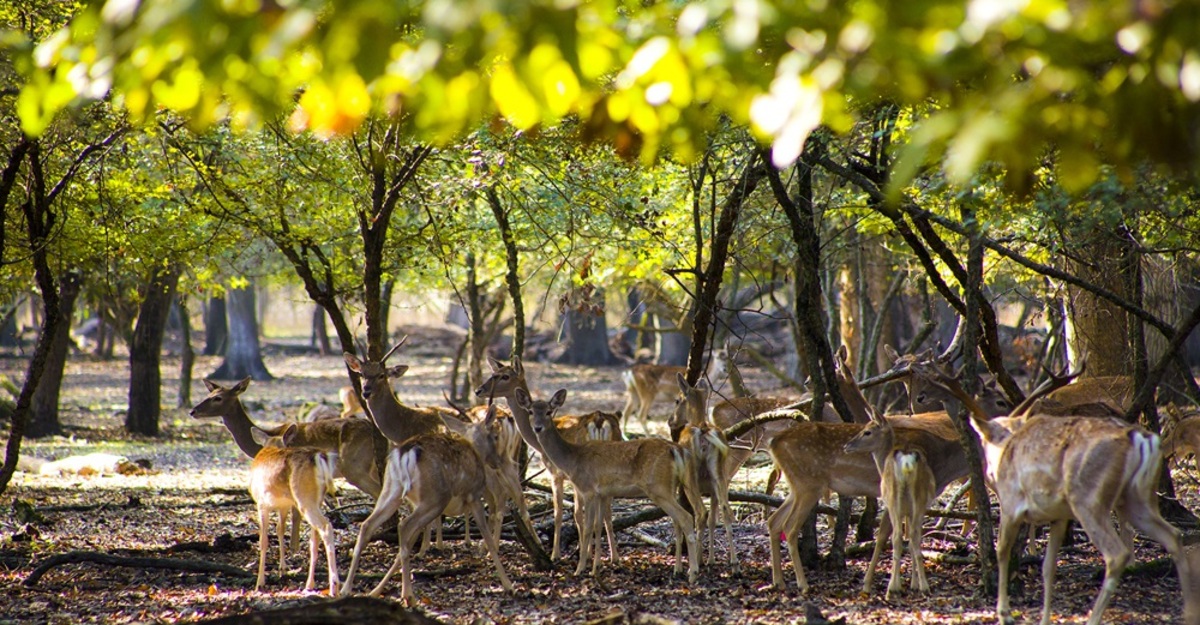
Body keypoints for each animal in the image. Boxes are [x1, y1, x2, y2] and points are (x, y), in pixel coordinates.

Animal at [248, 424, 340, 595]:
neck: (273, 445)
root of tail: (319, 456)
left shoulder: (261, 503)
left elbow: (263, 540)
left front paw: (260, 583)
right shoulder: (284, 505)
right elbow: (280, 529)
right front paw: (283, 569)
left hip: (304, 498)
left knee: (326, 527)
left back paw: (334, 587)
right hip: (315, 499)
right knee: (314, 539)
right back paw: (309, 584)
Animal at [475, 355, 624, 561]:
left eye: (505, 376)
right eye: (493, 373)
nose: (478, 390)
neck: (539, 446)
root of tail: (600, 421)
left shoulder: (557, 473)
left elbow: (562, 512)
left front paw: (557, 554)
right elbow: (579, 514)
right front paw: (583, 552)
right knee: (608, 512)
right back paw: (614, 557)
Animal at [516, 386, 700, 583]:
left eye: (549, 412)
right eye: (530, 411)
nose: (538, 427)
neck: (572, 459)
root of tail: (677, 449)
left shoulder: (587, 488)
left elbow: (587, 526)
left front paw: (580, 569)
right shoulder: (600, 492)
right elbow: (598, 524)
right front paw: (595, 568)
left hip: (658, 487)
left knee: (685, 517)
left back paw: (693, 573)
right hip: (672, 486)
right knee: (678, 520)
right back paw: (678, 569)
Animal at [912, 359, 1195, 623]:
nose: (922, 396)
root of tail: (1140, 438)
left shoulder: (1011, 503)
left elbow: (1002, 550)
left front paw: (1004, 612)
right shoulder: (1058, 515)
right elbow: (1048, 566)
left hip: (1088, 500)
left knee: (1116, 553)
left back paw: (1095, 615)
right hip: (1136, 498)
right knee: (1172, 535)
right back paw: (1187, 610)